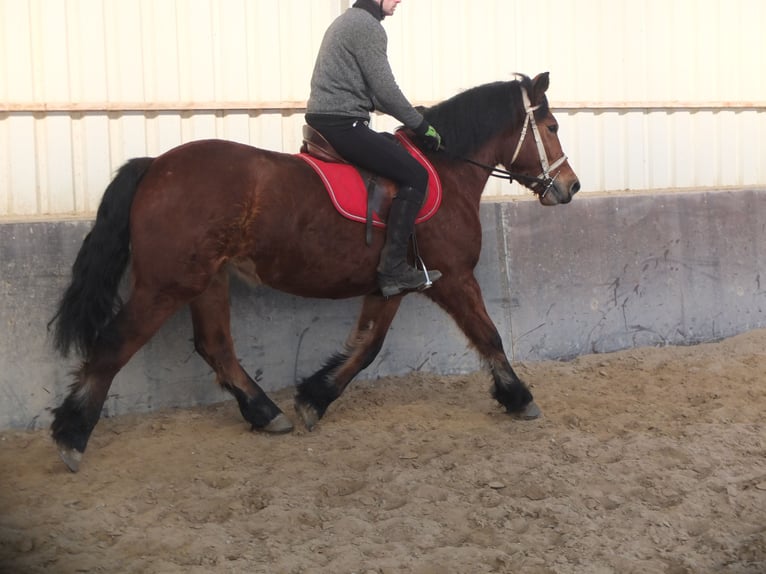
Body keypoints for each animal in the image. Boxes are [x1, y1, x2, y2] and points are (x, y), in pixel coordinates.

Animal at [48, 74, 580, 474]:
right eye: (552, 125)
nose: (570, 187)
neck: (445, 171)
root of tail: (156, 165)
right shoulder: (453, 277)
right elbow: (488, 336)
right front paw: (519, 398)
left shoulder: (389, 286)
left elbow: (366, 347)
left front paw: (313, 399)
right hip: (167, 285)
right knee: (116, 343)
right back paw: (71, 436)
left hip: (208, 281)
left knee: (216, 346)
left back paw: (266, 413)